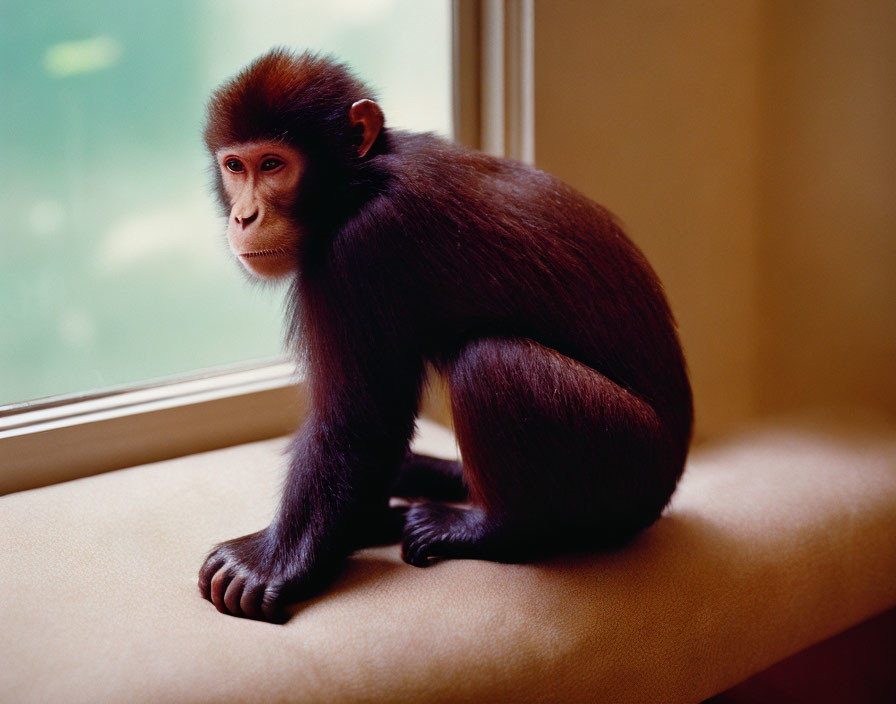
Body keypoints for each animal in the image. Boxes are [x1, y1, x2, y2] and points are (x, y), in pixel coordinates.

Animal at [200, 48, 692, 620]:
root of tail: (670, 480)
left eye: (273, 165)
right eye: (236, 167)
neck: (362, 182)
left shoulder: (363, 246)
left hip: (629, 469)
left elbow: (360, 420)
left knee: (491, 363)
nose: (244, 216)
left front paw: (272, 563)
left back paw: (492, 530)